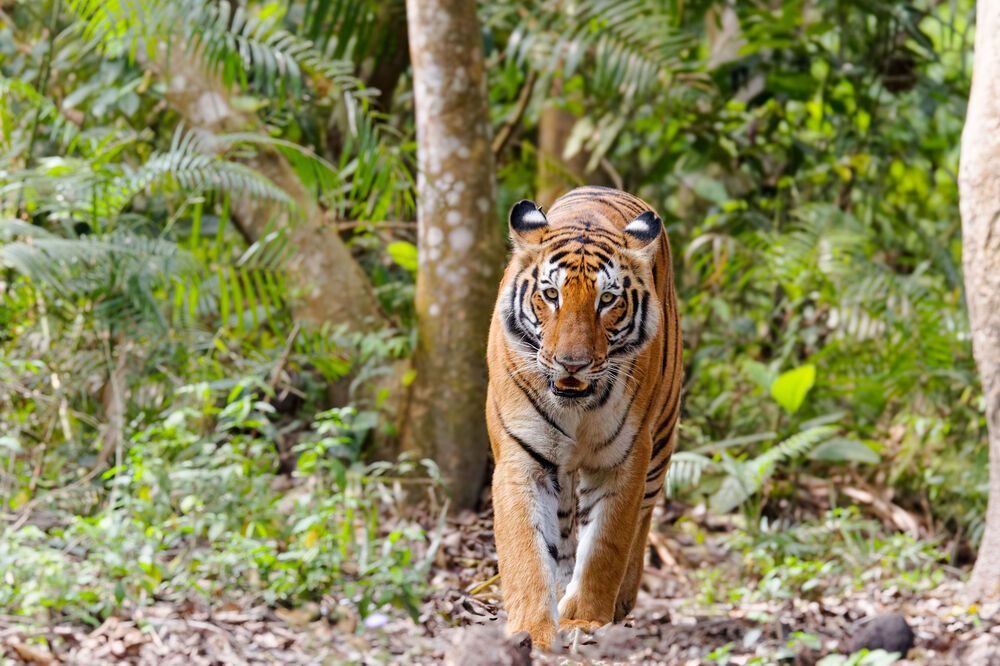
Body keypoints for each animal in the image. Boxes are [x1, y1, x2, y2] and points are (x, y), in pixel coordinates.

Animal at [485, 185, 683, 649]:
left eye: (606, 300)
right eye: (551, 295)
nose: (571, 364)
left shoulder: (624, 460)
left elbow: (606, 546)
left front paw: (585, 619)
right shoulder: (522, 460)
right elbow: (526, 551)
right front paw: (533, 630)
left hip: (661, 442)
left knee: (642, 519)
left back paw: (621, 600)